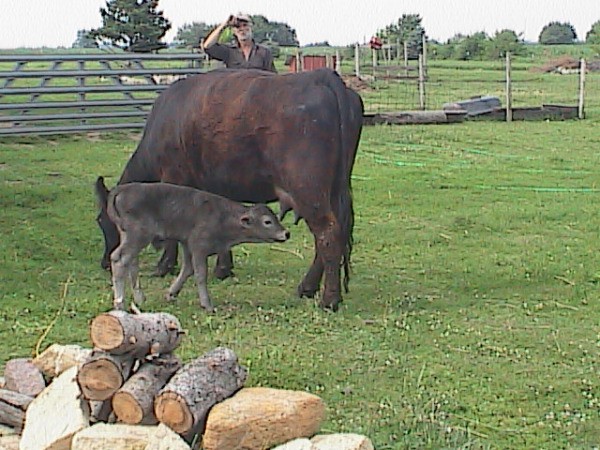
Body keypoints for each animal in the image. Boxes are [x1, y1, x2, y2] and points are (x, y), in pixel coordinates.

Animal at [96, 68, 364, 312]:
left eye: (101, 220)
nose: (105, 263)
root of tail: (320, 76)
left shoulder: (174, 178)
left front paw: (164, 266)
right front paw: (223, 267)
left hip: (308, 189)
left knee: (327, 233)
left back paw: (329, 300)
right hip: (334, 189)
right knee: (337, 231)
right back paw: (308, 288)